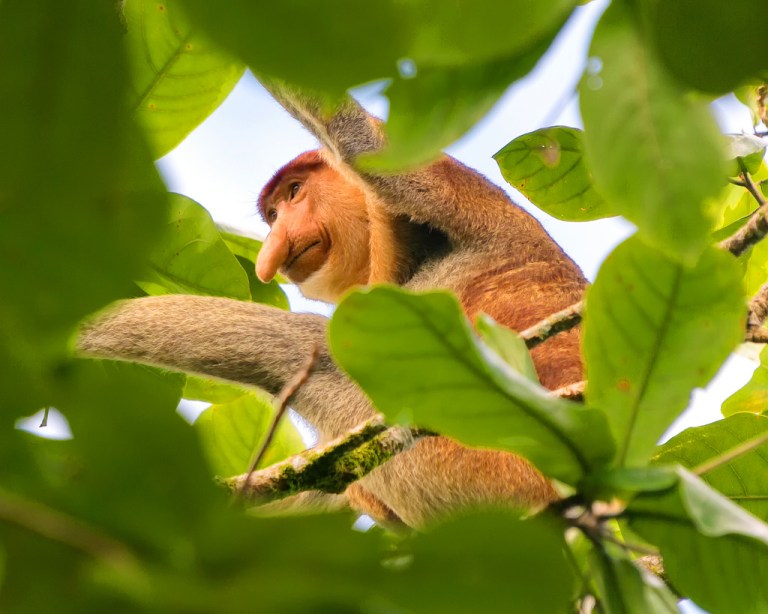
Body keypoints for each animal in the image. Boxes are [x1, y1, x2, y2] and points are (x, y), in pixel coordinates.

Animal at [78, 83, 587, 529]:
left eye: (295, 192)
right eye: (272, 215)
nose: (273, 245)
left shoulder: (444, 186)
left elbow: (354, 137)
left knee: (312, 350)